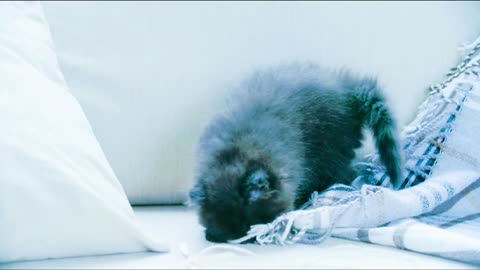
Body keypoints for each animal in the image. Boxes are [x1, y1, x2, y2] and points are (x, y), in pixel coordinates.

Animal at [188, 62, 402, 243]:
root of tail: (346, 89)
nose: (246, 239)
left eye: (249, 226)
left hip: (331, 153)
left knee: (346, 174)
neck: (235, 151)